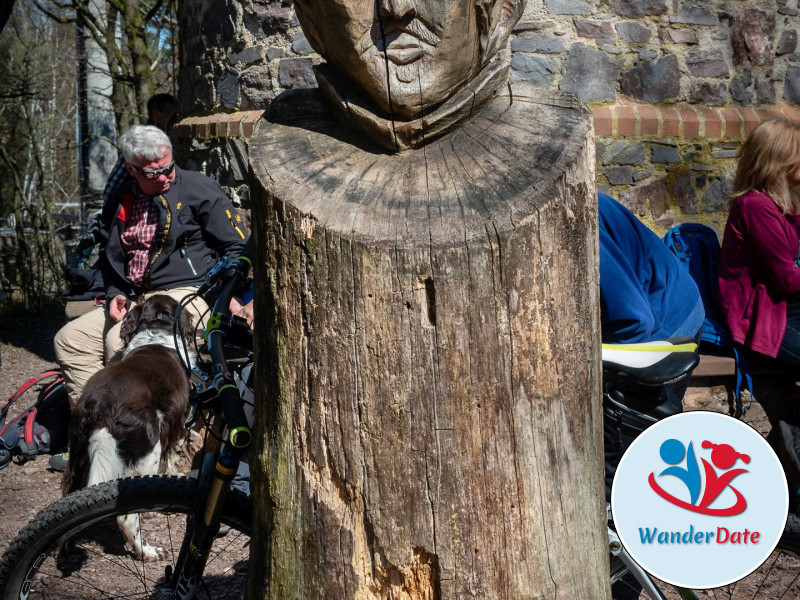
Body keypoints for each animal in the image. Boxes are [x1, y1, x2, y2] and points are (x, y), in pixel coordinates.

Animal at [61, 292, 195, 560]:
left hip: (78, 453)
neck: (157, 332)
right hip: (149, 449)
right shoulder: (179, 422)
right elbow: (172, 463)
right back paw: (148, 551)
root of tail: (100, 408)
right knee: (126, 517)